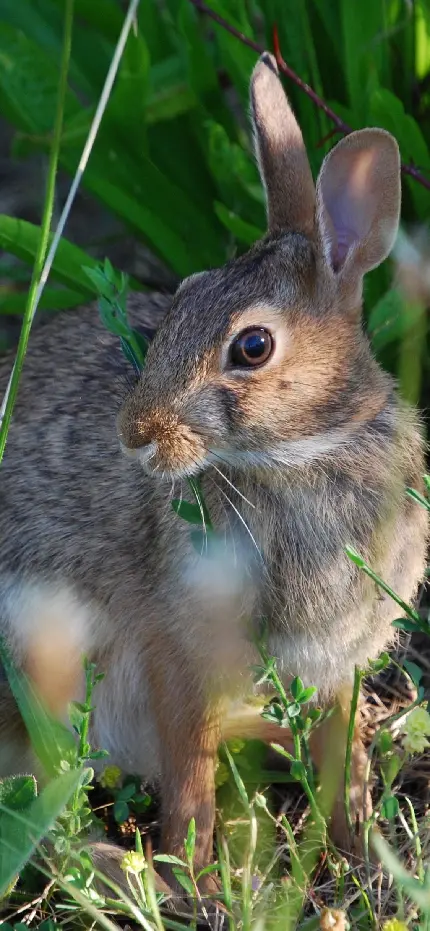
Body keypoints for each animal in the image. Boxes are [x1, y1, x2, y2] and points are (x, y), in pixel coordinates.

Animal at [0, 49, 426, 888]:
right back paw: (128, 870)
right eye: (182, 297)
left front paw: (361, 841)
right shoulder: (174, 643)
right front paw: (194, 868)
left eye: (252, 346)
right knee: (39, 802)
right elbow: (187, 759)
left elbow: (337, 748)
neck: (300, 456)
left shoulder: (338, 661)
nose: (134, 433)